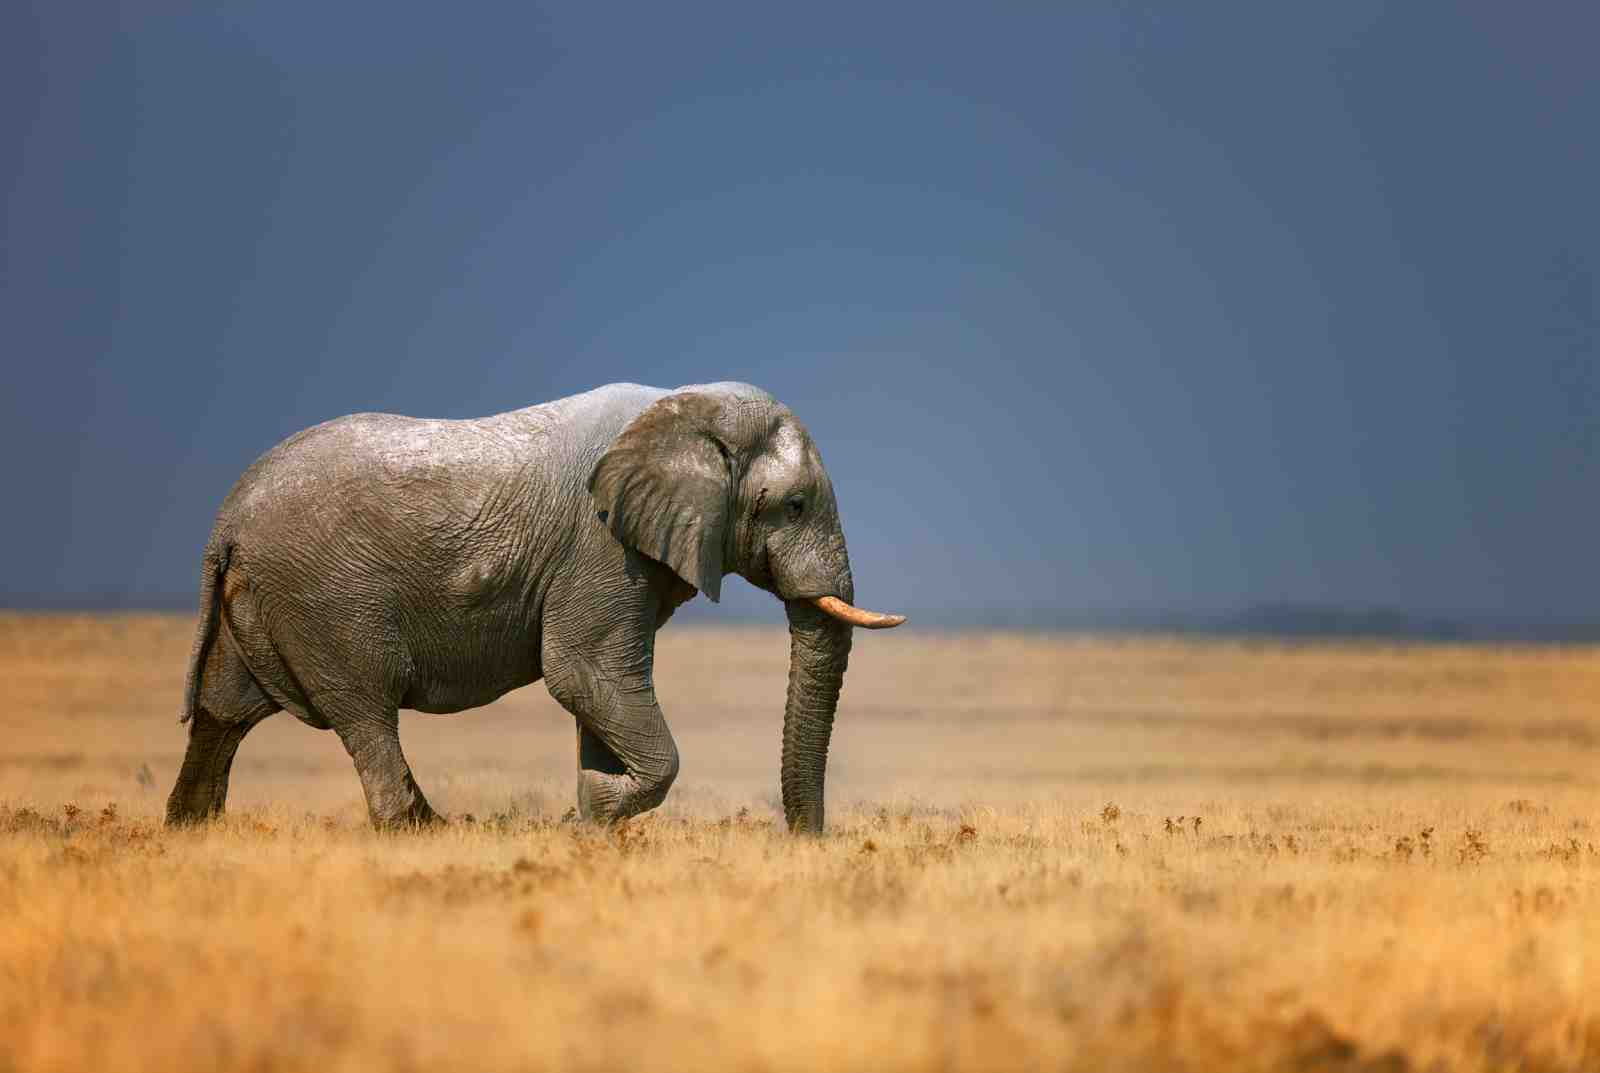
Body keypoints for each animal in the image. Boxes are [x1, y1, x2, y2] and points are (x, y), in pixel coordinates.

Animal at [165, 381, 904, 833]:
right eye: (795, 505)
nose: (805, 842)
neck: (685, 408)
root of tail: (227, 518)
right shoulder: (599, 545)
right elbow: (582, 674)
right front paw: (592, 812)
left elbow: (600, 689)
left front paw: (591, 819)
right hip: (327, 597)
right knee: (365, 708)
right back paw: (421, 831)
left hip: (263, 596)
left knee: (225, 709)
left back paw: (192, 829)